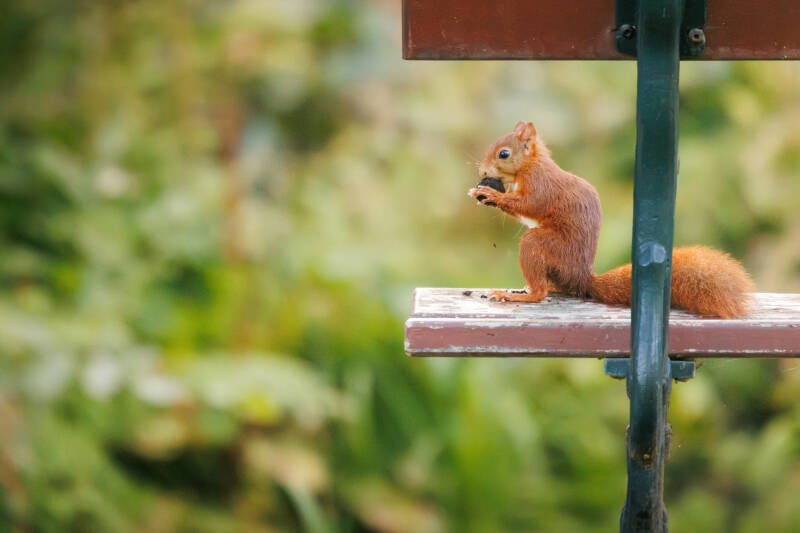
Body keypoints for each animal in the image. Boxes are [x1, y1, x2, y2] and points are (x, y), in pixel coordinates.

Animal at [467, 121, 754, 318]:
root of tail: (581, 278)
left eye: (504, 154)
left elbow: (529, 205)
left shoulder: (541, 187)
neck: (530, 166)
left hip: (541, 244)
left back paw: (515, 295)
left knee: (540, 292)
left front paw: (490, 194)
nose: (483, 171)